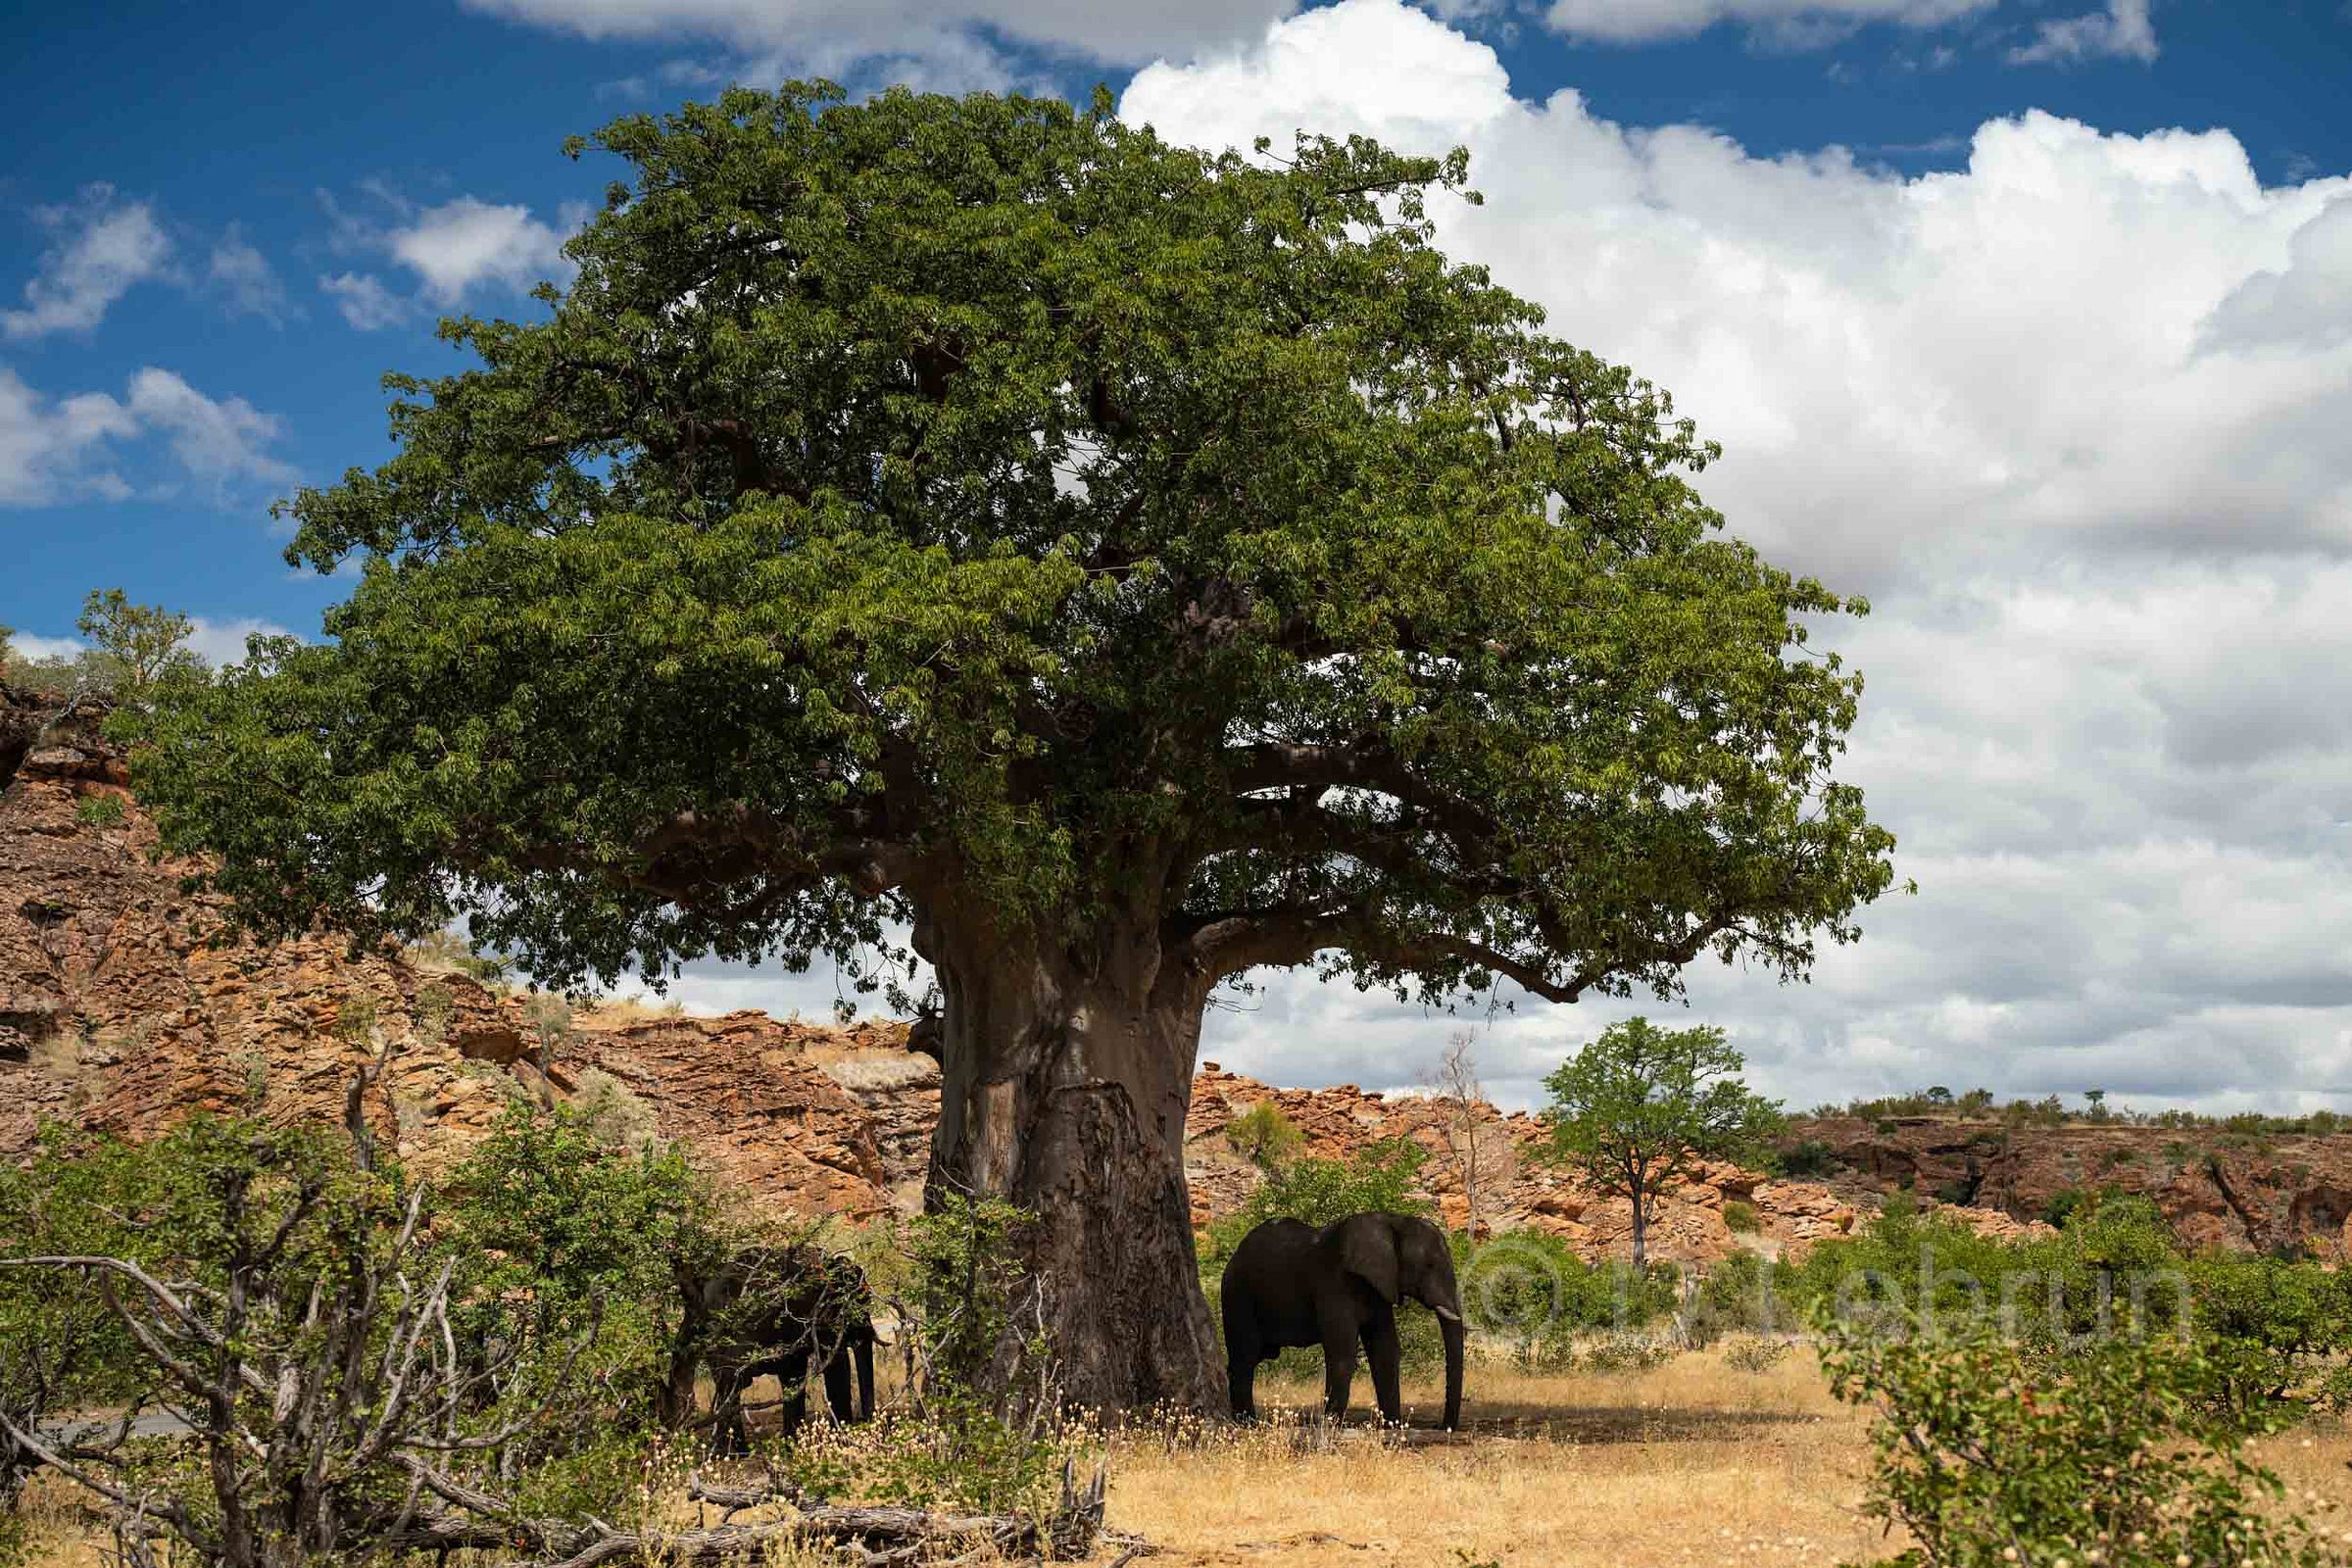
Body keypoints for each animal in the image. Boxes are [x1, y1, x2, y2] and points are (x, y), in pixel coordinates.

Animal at [667, 1241, 879, 1457]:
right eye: (858, 1304)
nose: (866, 1422)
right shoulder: (821, 1315)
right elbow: (835, 1364)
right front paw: (840, 1439)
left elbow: (794, 1375)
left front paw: (792, 1443)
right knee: (733, 1380)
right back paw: (735, 1453)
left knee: (726, 1380)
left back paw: (729, 1452)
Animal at [1223, 1212, 1458, 1439]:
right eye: (1429, 1266)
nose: (1440, 1426)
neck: (1391, 1219)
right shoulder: (1334, 1285)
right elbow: (1342, 1351)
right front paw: (1331, 1426)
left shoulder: (1378, 1289)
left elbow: (1385, 1349)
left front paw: (1392, 1426)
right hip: (1237, 1295)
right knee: (1244, 1358)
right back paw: (1248, 1424)